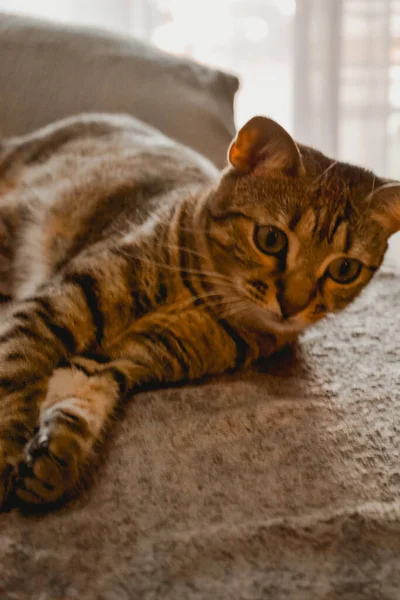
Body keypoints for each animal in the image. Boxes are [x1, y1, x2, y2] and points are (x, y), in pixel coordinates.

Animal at [0, 111, 396, 506]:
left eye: (344, 269)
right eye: (271, 239)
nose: (292, 306)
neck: (203, 300)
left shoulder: (122, 358)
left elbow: (78, 400)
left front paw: (53, 459)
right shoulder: (52, 306)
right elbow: (15, 376)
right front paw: (7, 456)